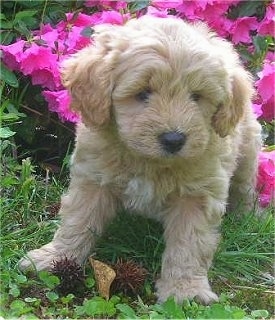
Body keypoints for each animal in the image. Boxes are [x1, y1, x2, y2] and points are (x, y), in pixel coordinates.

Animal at [20, 15, 264, 304]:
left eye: (196, 96)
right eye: (143, 93)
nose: (174, 139)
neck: (150, 162)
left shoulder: (197, 195)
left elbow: (189, 243)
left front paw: (185, 290)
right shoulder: (93, 179)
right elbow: (77, 220)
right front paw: (55, 257)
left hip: (248, 151)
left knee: (244, 188)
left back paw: (247, 219)